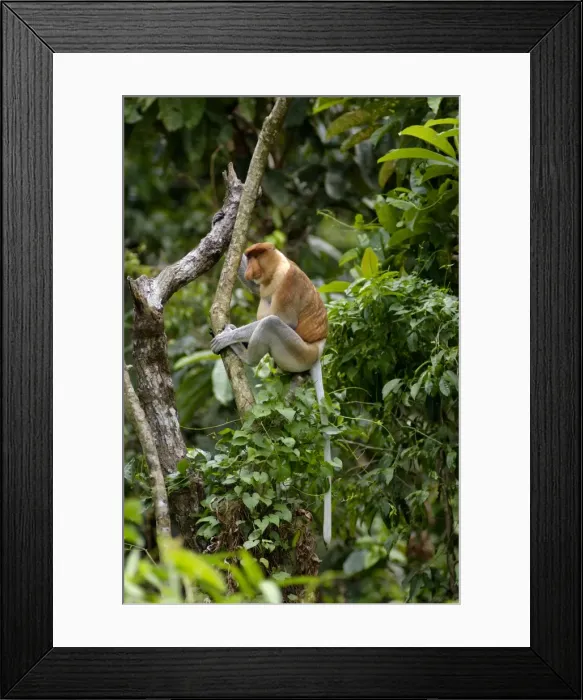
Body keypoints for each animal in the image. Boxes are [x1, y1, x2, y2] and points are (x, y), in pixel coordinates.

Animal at [210, 242, 333, 544]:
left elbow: (283, 320)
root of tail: (318, 351)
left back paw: (243, 354)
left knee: (271, 323)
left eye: (258, 256)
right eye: (250, 256)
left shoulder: (288, 284)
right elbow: (255, 289)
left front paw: (227, 337)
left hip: (298, 351)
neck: (277, 269)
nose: (251, 266)